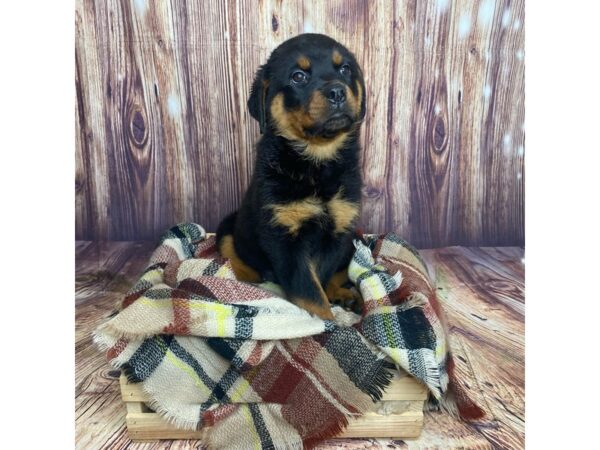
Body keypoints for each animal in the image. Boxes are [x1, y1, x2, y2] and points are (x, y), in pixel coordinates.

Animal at [216, 32, 366, 320]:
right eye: (298, 76)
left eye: (345, 69)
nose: (337, 91)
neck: (317, 161)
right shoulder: (283, 236)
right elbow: (308, 290)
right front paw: (323, 323)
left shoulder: (339, 229)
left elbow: (322, 276)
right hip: (229, 226)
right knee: (231, 252)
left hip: (353, 239)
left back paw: (345, 294)